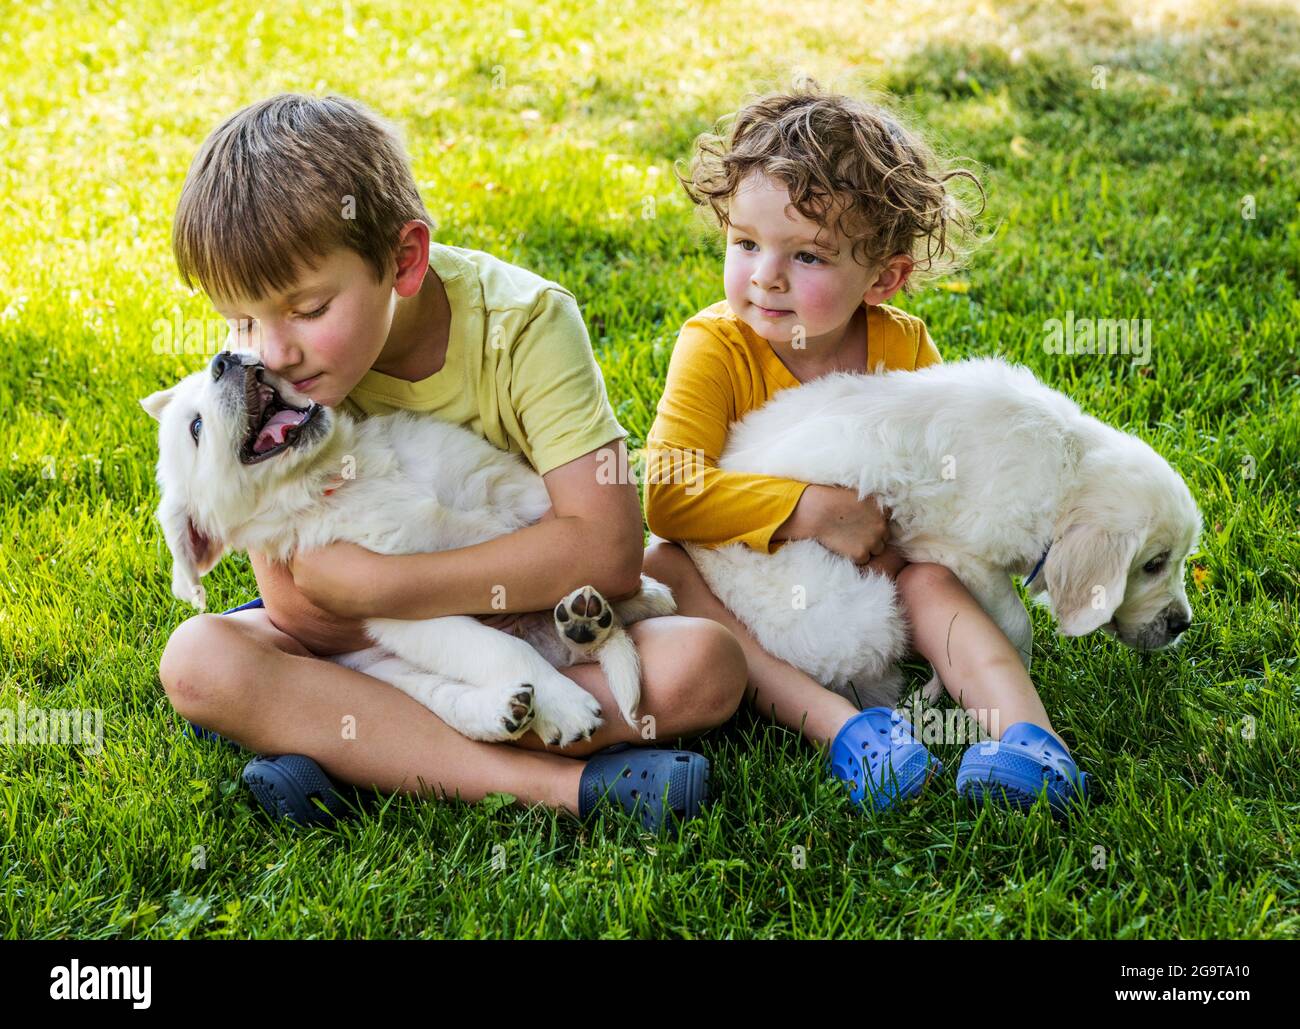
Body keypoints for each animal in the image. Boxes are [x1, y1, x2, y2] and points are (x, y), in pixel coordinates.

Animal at [142, 350, 676, 743]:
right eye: (195, 428)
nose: (225, 357)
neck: (344, 473)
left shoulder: (506, 484)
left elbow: (580, 534)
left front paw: (639, 582)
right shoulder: (397, 600)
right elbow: (498, 647)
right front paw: (564, 705)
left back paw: (601, 613)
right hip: (389, 669)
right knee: (456, 692)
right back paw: (513, 705)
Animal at [676, 353, 1201, 706]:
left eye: (1177, 562)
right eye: (1152, 565)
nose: (1182, 625)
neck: (1066, 466)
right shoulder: (958, 553)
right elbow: (1017, 623)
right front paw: (1023, 666)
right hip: (859, 614)